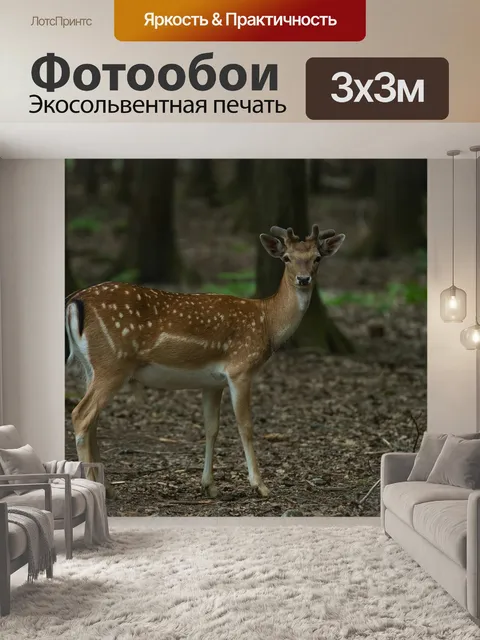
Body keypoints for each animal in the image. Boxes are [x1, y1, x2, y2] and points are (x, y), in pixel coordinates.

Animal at [65, 225, 345, 499]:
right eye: (287, 258)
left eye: (317, 258)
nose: (303, 279)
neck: (268, 323)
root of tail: (74, 300)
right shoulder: (240, 368)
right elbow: (246, 426)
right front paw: (260, 485)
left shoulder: (213, 382)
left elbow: (212, 428)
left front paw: (209, 485)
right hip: (112, 364)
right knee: (81, 415)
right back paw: (94, 486)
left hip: (90, 367)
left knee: (93, 420)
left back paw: (107, 487)